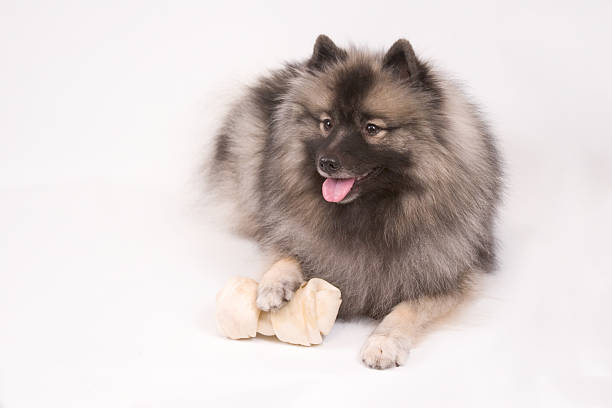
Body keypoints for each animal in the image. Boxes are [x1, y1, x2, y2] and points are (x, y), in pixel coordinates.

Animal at [209, 35, 502, 370]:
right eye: (327, 123)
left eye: (371, 128)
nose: (326, 162)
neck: (370, 211)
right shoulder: (294, 235)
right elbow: (285, 255)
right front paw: (272, 286)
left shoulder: (449, 276)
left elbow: (409, 308)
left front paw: (383, 342)